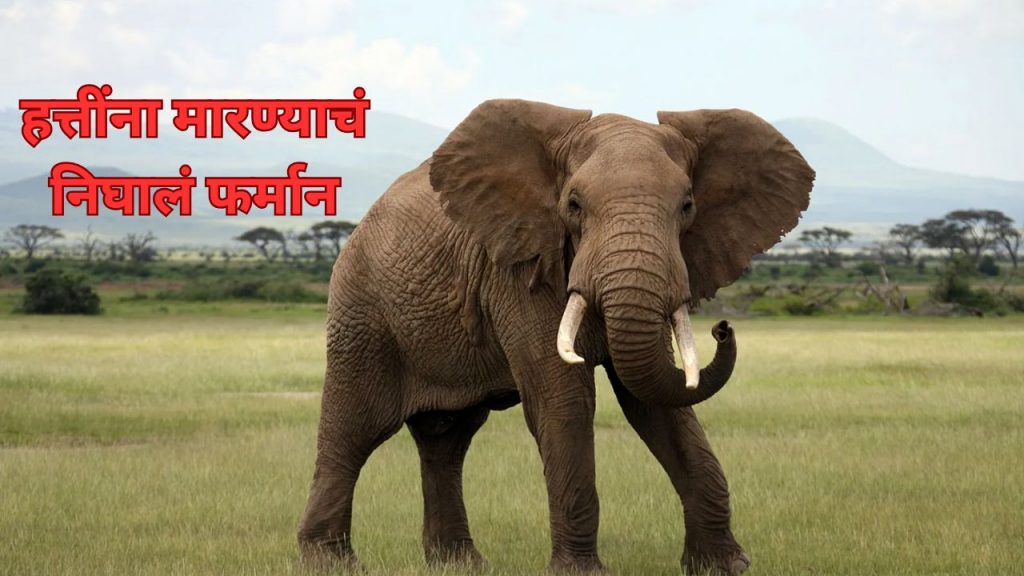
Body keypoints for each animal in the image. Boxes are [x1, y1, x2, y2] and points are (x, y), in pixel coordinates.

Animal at [297, 99, 814, 575]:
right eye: (574, 205)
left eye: (687, 206)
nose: (722, 328)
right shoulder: (520, 268)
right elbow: (564, 400)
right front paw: (580, 572)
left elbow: (657, 402)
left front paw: (725, 567)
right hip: (362, 313)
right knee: (354, 429)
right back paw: (331, 563)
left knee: (446, 440)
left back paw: (460, 564)